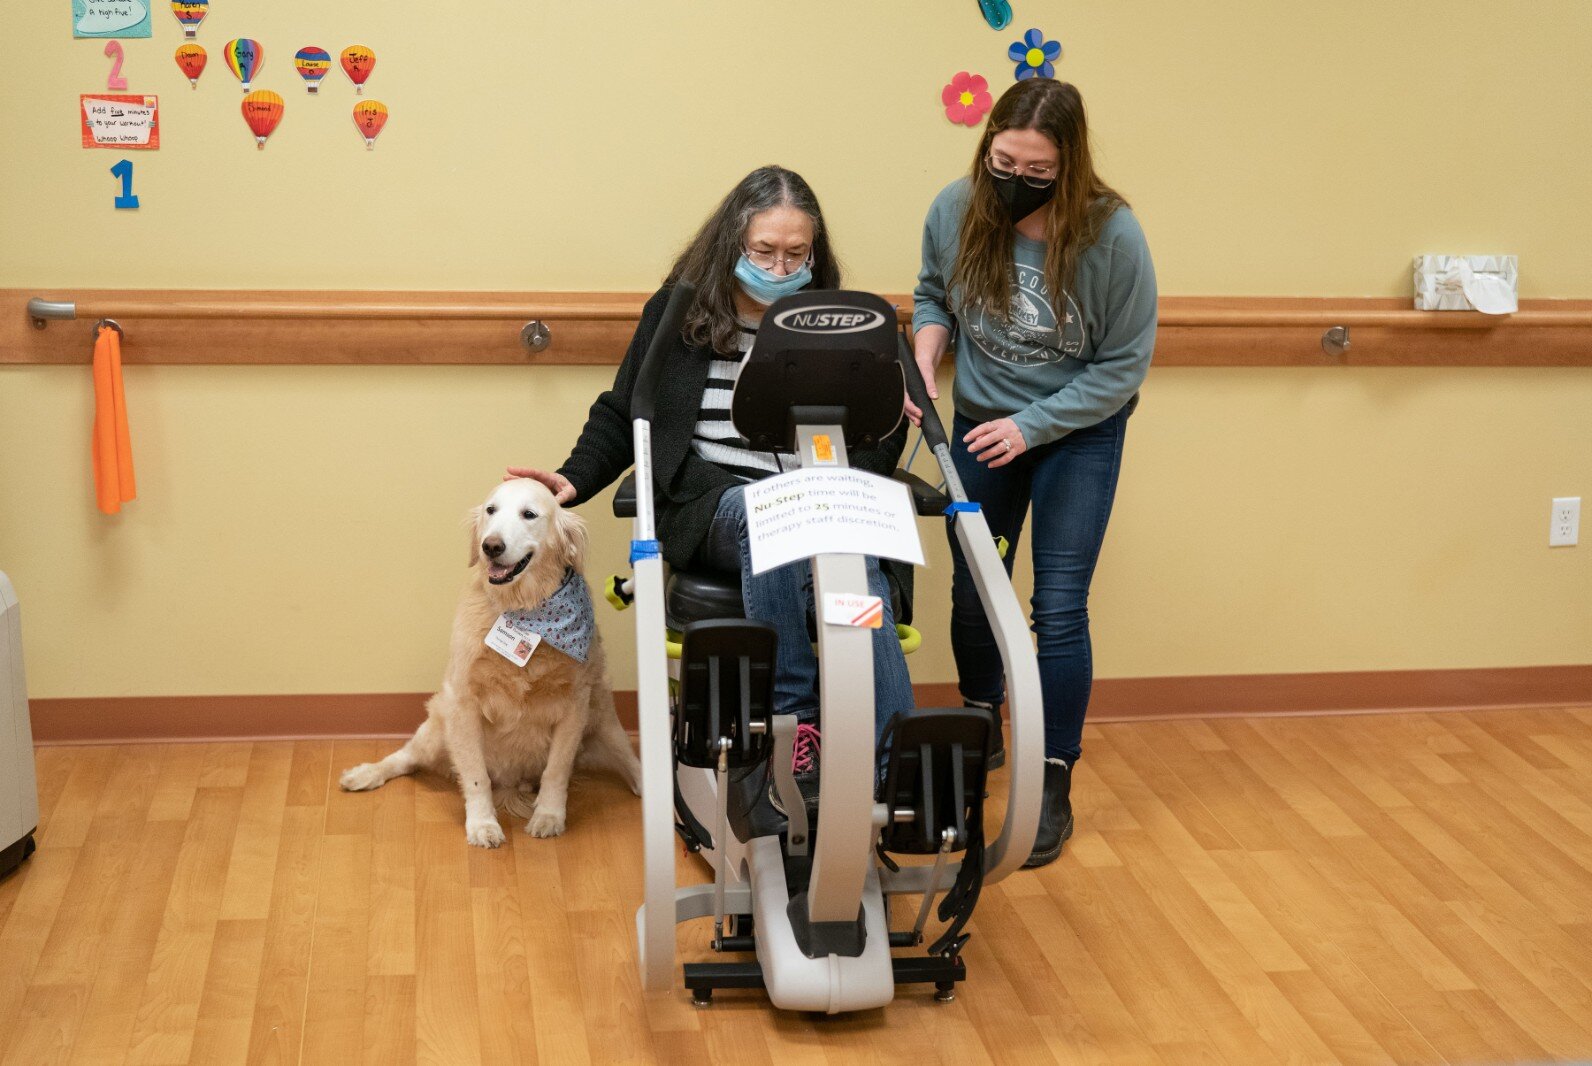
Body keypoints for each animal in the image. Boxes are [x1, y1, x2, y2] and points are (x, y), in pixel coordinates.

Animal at [340, 480, 639, 846]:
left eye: (529, 514)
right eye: (491, 510)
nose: (491, 546)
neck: (525, 611)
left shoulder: (575, 706)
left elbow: (557, 770)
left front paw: (549, 816)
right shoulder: (463, 703)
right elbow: (475, 775)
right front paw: (482, 824)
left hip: (604, 725)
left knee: (633, 765)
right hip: (436, 731)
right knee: (404, 758)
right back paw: (364, 774)